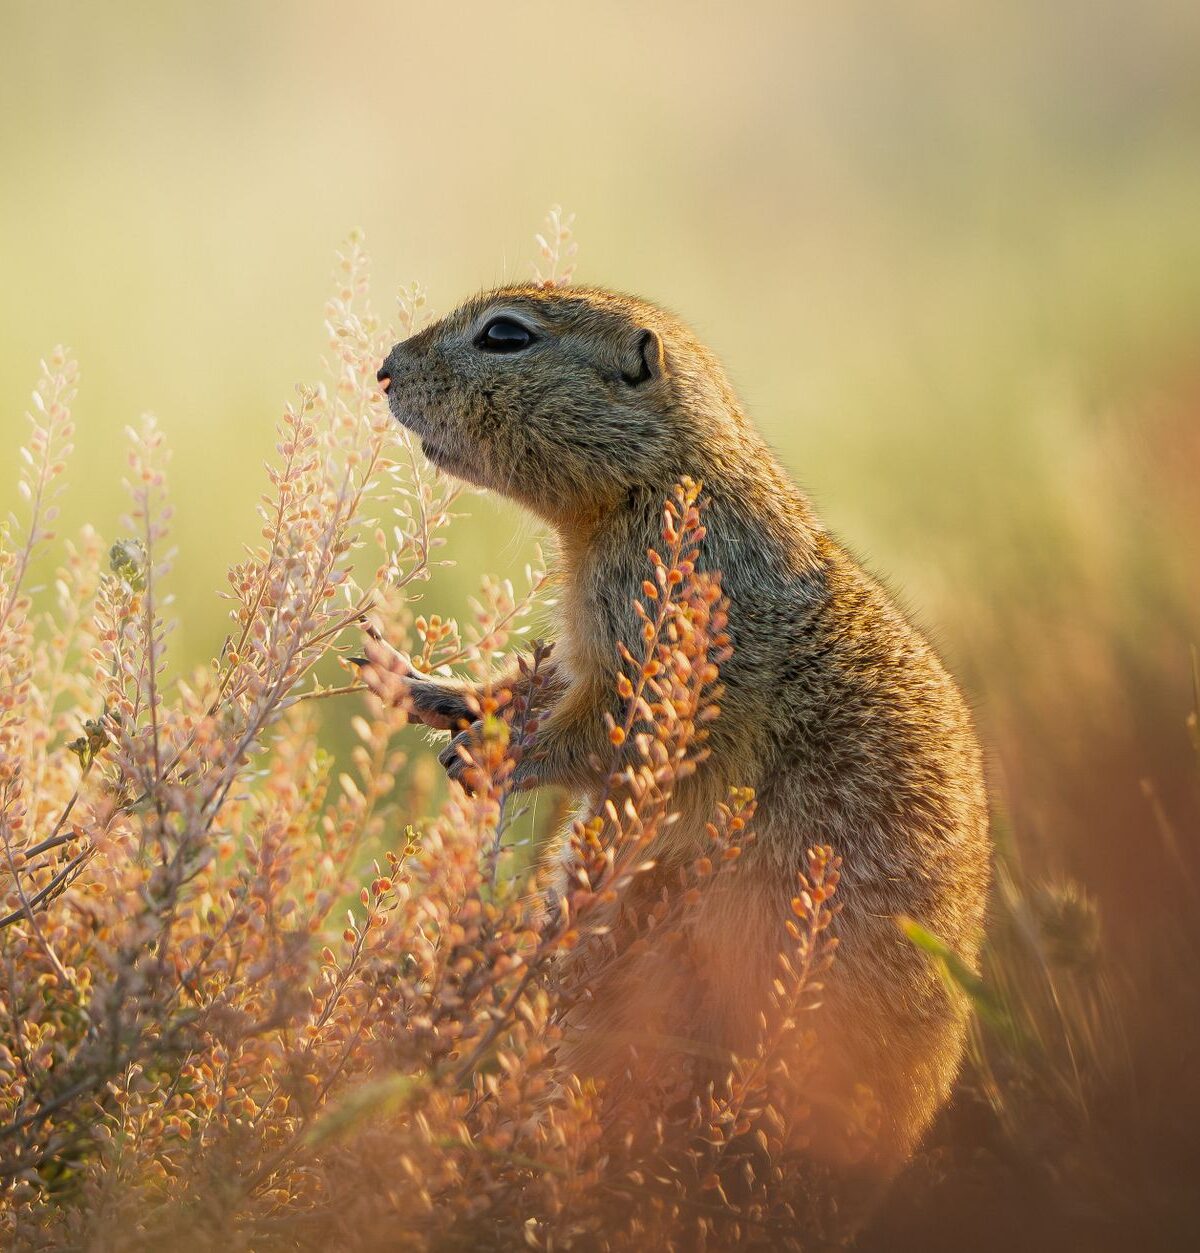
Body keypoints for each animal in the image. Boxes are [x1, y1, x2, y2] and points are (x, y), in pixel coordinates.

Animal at [363, 284, 991, 1175]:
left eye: (506, 336)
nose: (384, 370)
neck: (656, 485)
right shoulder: (588, 647)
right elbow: (538, 687)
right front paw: (431, 689)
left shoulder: (655, 653)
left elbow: (598, 734)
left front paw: (496, 754)